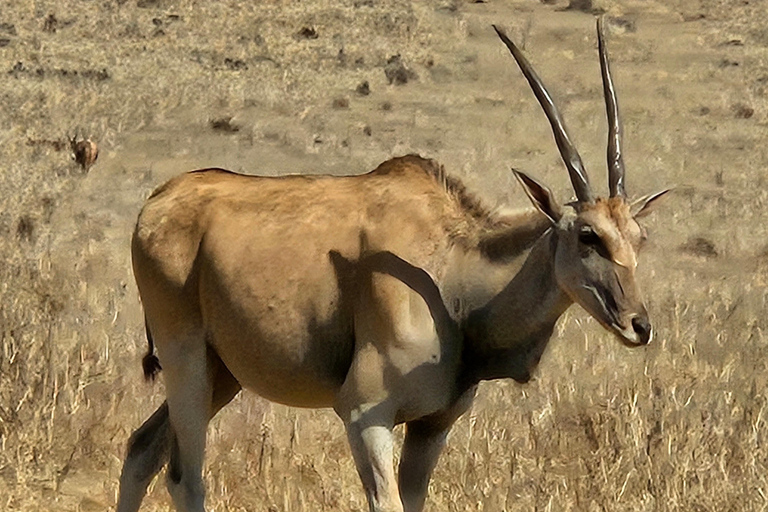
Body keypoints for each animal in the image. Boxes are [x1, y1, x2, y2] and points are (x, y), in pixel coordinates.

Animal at [117, 18, 668, 512]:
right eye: (588, 235)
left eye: (638, 238)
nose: (639, 326)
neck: (454, 271)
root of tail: (161, 198)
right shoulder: (366, 416)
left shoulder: (433, 425)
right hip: (185, 358)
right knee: (184, 477)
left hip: (221, 373)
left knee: (140, 450)